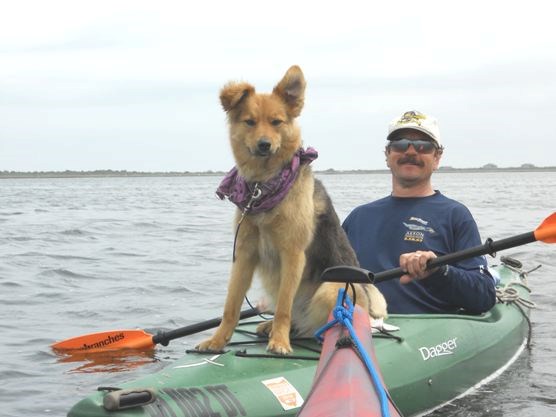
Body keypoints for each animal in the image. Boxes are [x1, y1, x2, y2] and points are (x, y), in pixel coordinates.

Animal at [197, 65, 386, 354]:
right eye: (250, 122)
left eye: (276, 122)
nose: (264, 144)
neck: (262, 187)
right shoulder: (244, 254)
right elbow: (231, 306)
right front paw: (218, 340)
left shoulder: (293, 254)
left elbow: (284, 307)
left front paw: (280, 341)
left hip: (331, 288)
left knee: (321, 323)